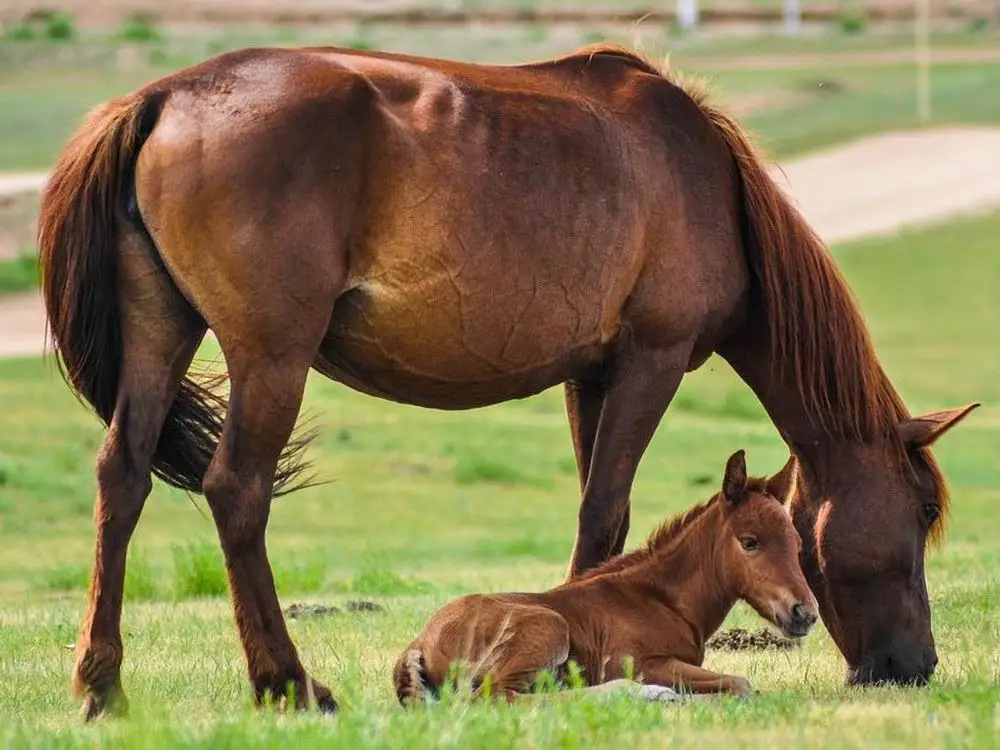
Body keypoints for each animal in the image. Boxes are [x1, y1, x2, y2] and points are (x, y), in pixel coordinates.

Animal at [393, 449, 817, 706]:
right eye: (750, 542)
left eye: (797, 543)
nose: (805, 613)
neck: (662, 600)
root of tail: (418, 643)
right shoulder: (638, 661)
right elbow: (741, 684)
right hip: (547, 627)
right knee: (501, 697)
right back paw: (642, 694)